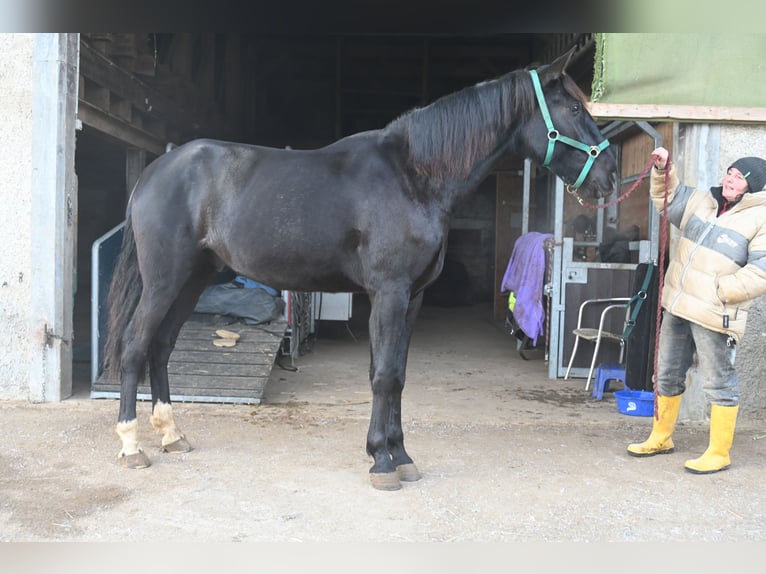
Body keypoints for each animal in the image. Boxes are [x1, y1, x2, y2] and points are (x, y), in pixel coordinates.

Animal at [102, 47, 617, 491]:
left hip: (193, 280)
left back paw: (172, 436)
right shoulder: (388, 292)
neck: (413, 176)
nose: (610, 174)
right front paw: (382, 462)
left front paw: (401, 456)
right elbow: (383, 375)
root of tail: (154, 172)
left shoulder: (412, 297)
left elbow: (398, 374)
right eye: (574, 108)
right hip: (164, 281)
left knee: (161, 348)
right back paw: (131, 445)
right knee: (135, 346)